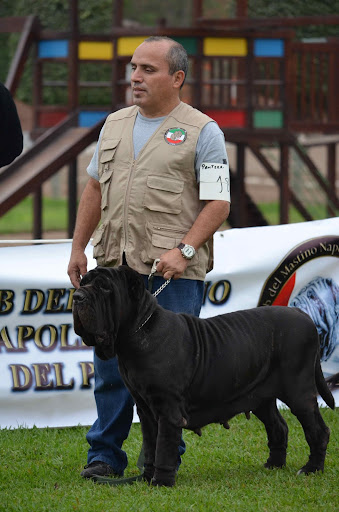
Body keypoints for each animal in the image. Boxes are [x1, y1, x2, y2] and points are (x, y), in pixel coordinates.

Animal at [73, 266, 336, 486]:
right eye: (83, 282)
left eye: (105, 287)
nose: (77, 296)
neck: (138, 331)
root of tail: (305, 317)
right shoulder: (145, 409)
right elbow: (150, 445)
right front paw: (147, 477)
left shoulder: (168, 409)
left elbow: (164, 446)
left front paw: (161, 482)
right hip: (260, 397)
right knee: (279, 427)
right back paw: (274, 465)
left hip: (299, 393)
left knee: (318, 431)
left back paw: (311, 469)